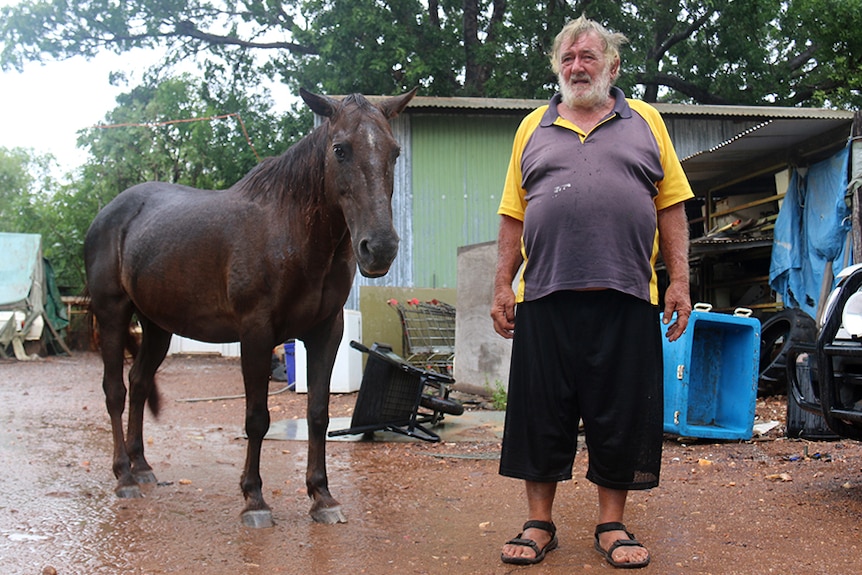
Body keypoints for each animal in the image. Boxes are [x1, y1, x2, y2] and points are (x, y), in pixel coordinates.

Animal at [85, 89, 418, 528]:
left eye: (394, 152)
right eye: (340, 149)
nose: (379, 248)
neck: (291, 233)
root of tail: (108, 213)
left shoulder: (325, 333)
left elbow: (318, 413)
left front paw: (322, 497)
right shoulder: (256, 334)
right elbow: (257, 417)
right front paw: (254, 499)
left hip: (157, 326)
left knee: (139, 384)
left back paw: (142, 468)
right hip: (112, 314)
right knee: (115, 391)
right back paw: (123, 476)